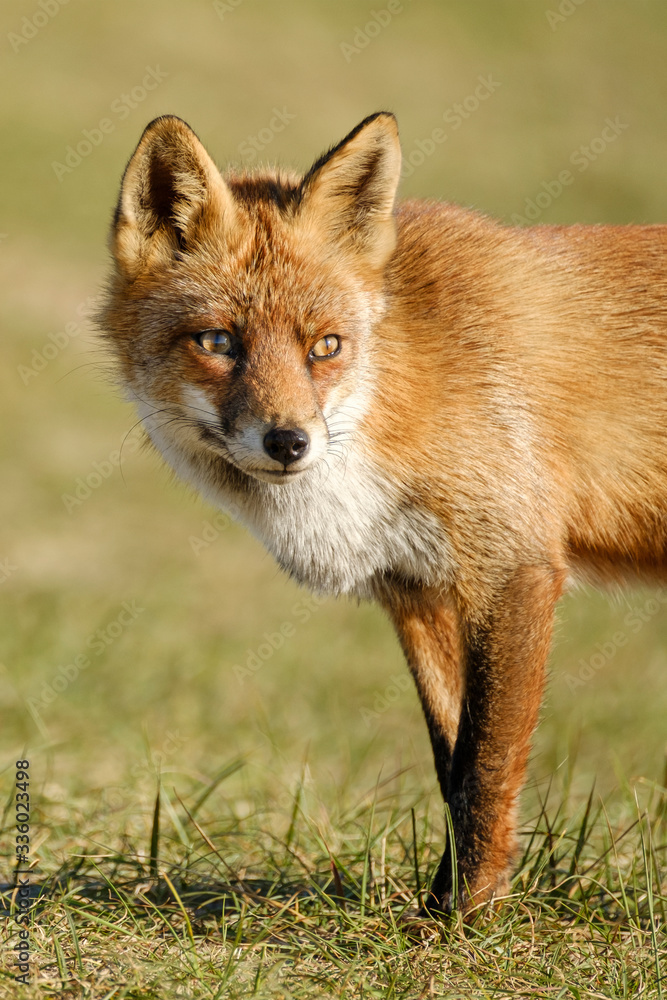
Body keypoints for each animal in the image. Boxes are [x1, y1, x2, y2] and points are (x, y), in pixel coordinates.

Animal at [100, 111, 667, 917]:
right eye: (218, 342)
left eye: (325, 346)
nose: (288, 441)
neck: (393, 398)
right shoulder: (416, 588)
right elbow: (451, 767)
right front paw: (447, 904)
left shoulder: (514, 567)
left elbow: (486, 769)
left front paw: (464, 921)